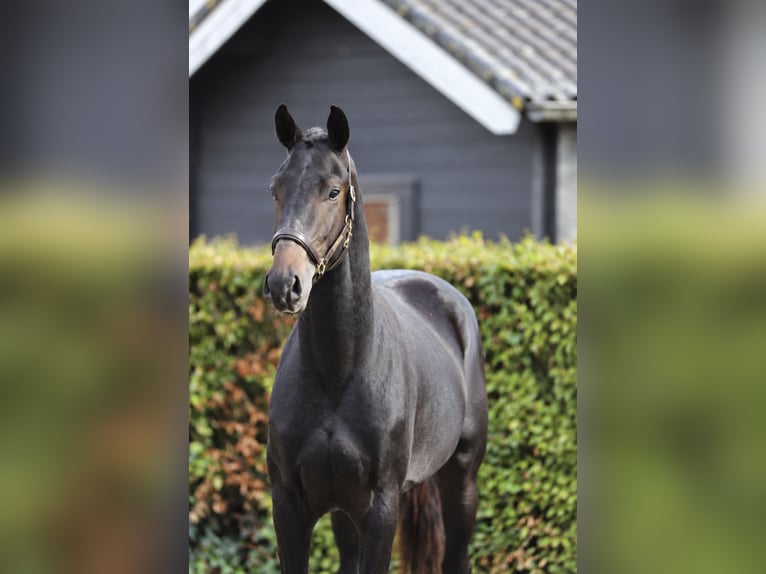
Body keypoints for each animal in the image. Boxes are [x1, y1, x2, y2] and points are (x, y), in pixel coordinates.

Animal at [263, 104, 488, 574]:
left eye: (333, 191)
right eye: (275, 189)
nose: (284, 285)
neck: (338, 370)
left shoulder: (380, 507)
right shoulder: (290, 505)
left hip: (462, 480)